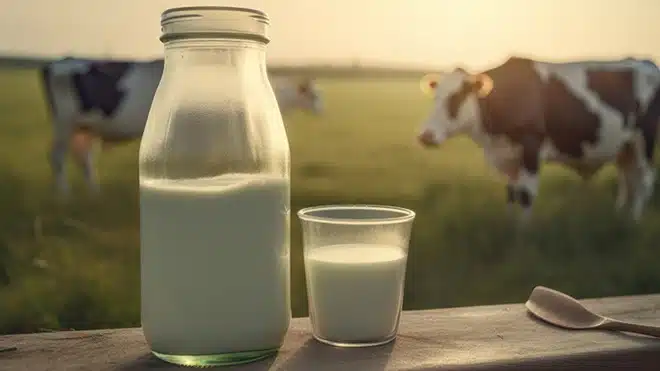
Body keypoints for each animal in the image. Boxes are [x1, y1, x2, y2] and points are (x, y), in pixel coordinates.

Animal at [40, 57, 324, 198]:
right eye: (313, 95)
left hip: (85, 127)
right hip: (64, 123)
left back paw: (94, 194)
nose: (323, 110)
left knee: (84, 159)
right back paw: (64, 196)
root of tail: (59, 61)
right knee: (57, 158)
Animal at [418, 56, 660, 222]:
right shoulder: (509, 157)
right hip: (625, 147)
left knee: (645, 180)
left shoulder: (531, 147)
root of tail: (644, 62)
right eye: (435, 97)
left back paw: (634, 221)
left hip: (644, 140)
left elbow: (525, 196)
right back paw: (621, 216)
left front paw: (522, 237)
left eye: (456, 97)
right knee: (628, 178)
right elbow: (512, 194)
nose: (425, 136)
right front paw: (509, 227)